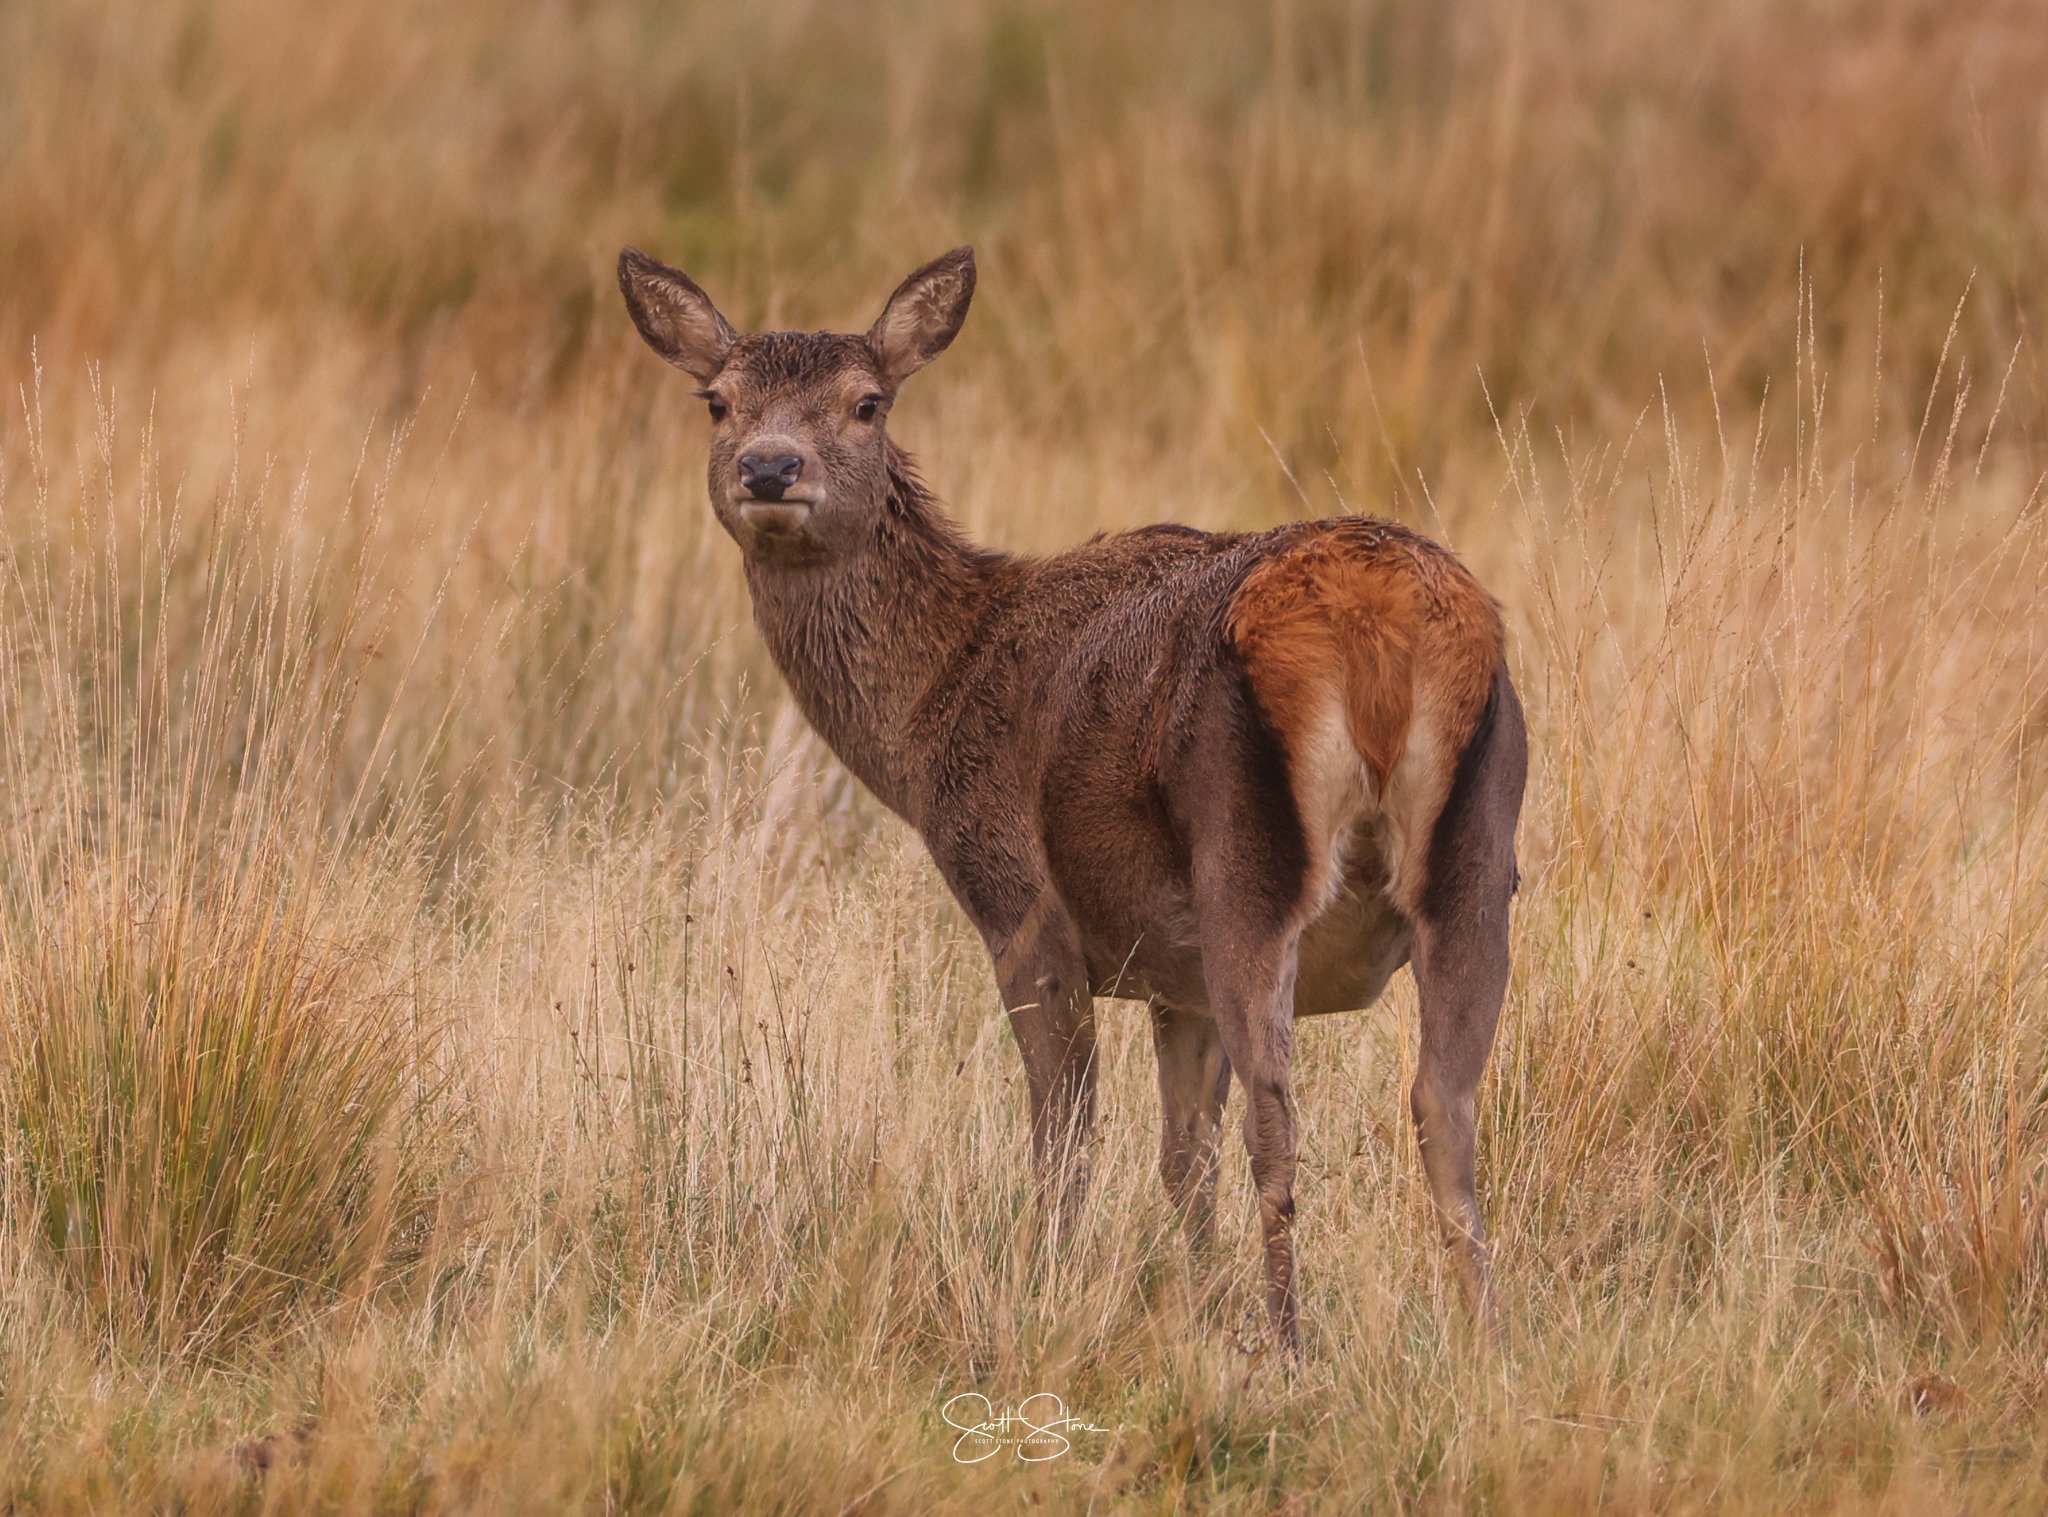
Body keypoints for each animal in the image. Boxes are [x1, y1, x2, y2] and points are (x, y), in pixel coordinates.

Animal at [617, 245, 1527, 1354]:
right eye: (717, 400)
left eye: (867, 402)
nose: (769, 469)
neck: (931, 711)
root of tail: (1382, 627)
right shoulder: (1171, 973)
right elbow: (1181, 1157)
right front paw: (1194, 1300)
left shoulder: (1019, 902)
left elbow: (1067, 1136)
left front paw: (1044, 1282)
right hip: (1482, 853)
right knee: (1443, 1107)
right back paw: (1482, 1343)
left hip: (1246, 856)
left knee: (1279, 1110)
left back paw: (1288, 1341)